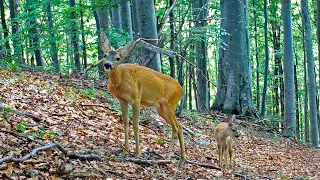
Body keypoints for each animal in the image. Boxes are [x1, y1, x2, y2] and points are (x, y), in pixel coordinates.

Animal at [99, 32, 186, 165]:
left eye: (118, 58)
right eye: (105, 55)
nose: (107, 65)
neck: (120, 81)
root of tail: (181, 89)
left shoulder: (136, 99)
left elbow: (135, 125)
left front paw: (137, 153)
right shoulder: (122, 100)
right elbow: (125, 122)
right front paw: (126, 151)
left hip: (169, 105)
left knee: (176, 127)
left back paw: (168, 156)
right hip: (161, 108)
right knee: (179, 126)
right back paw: (181, 159)